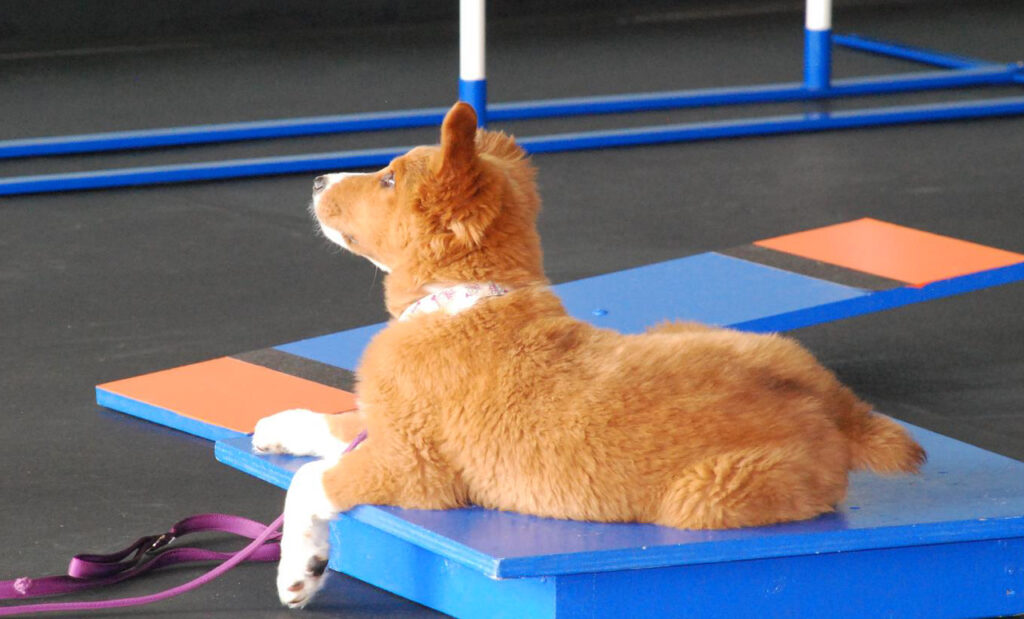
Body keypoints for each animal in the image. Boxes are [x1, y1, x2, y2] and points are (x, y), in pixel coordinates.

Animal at [251, 102, 925, 610]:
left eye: (388, 178)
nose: (316, 181)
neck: (461, 301)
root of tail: (836, 409)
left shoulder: (415, 468)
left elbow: (312, 482)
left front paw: (300, 569)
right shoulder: (388, 426)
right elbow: (339, 421)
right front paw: (279, 426)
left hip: (705, 497)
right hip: (680, 329)